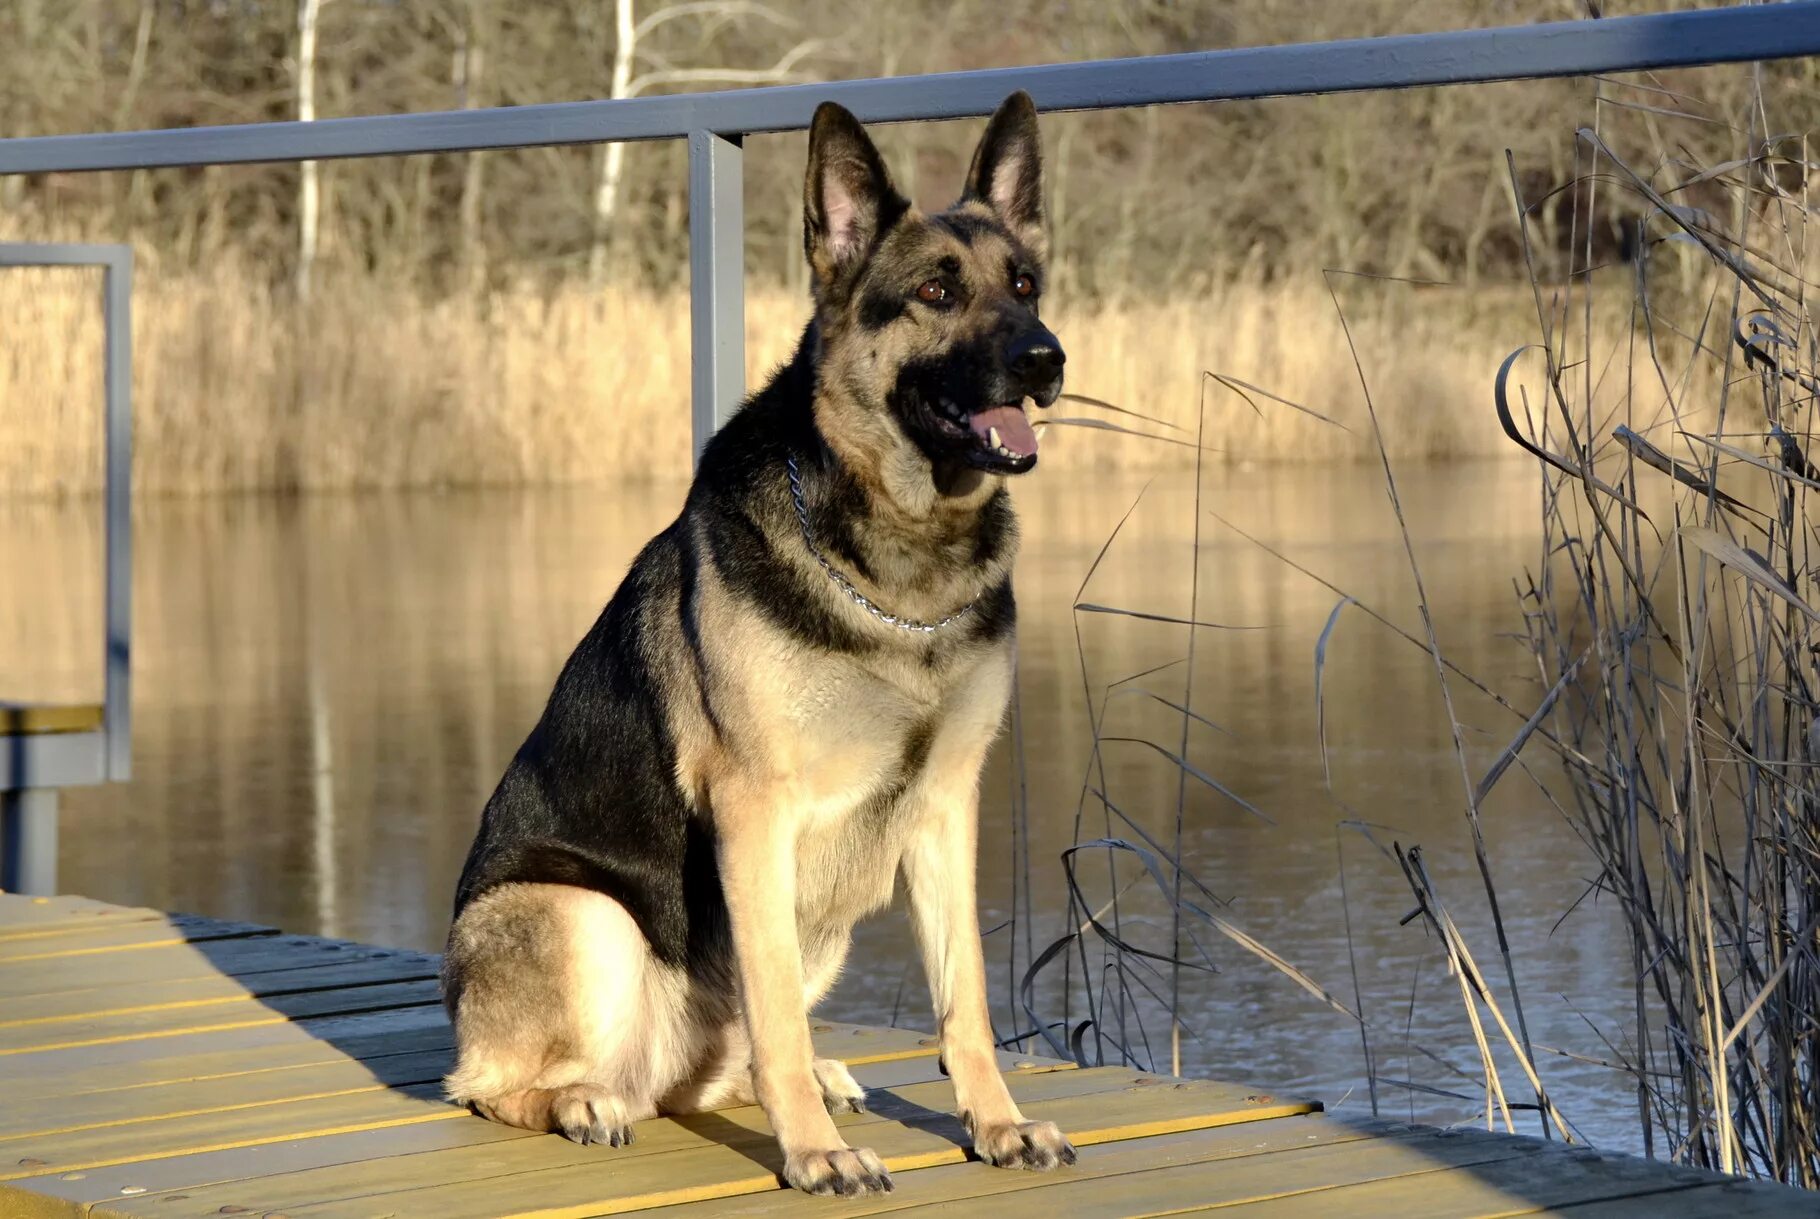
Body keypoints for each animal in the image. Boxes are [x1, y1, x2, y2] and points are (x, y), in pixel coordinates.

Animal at [438, 90, 1062, 1200]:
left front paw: (996, 1125)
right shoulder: (754, 814)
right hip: (584, 914)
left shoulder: (943, 810)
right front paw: (812, 1155)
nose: (1046, 358)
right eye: (938, 290)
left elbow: (968, 1006)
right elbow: (773, 1013)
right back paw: (582, 1101)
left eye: (1023, 284)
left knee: (710, 1069)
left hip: (828, 922)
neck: (899, 571)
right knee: (493, 1083)